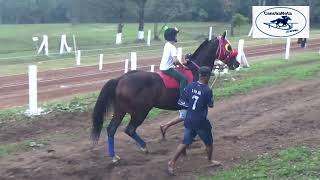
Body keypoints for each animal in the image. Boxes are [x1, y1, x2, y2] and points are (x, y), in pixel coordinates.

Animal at [91, 31, 239, 162]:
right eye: (228, 47)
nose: (236, 64)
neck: (196, 71)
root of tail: (121, 79)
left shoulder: (186, 108)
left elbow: (184, 122)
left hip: (120, 110)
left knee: (111, 129)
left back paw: (114, 156)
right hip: (140, 111)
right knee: (130, 129)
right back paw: (143, 147)